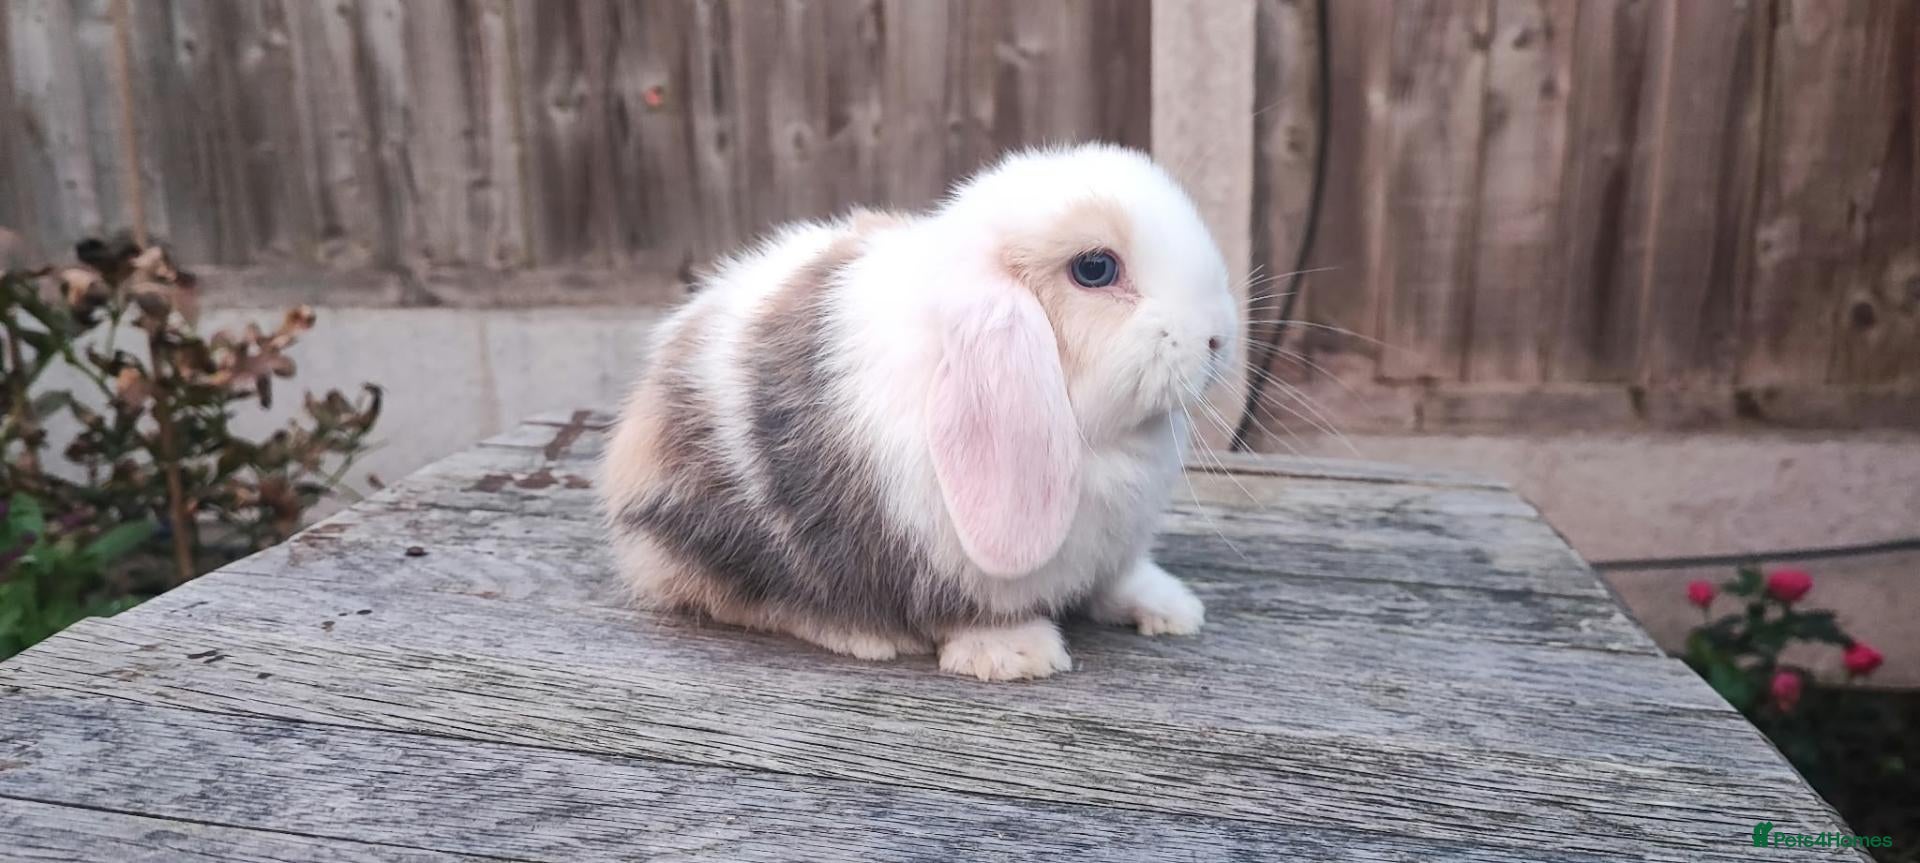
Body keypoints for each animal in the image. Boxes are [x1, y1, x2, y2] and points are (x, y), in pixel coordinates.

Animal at [600, 143, 1237, 681]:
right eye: (1095, 269)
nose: (1217, 338)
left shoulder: (1112, 549)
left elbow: (1118, 580)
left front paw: (1173, 608)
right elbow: (969, 612)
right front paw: (1016, 655)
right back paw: (863, 636)